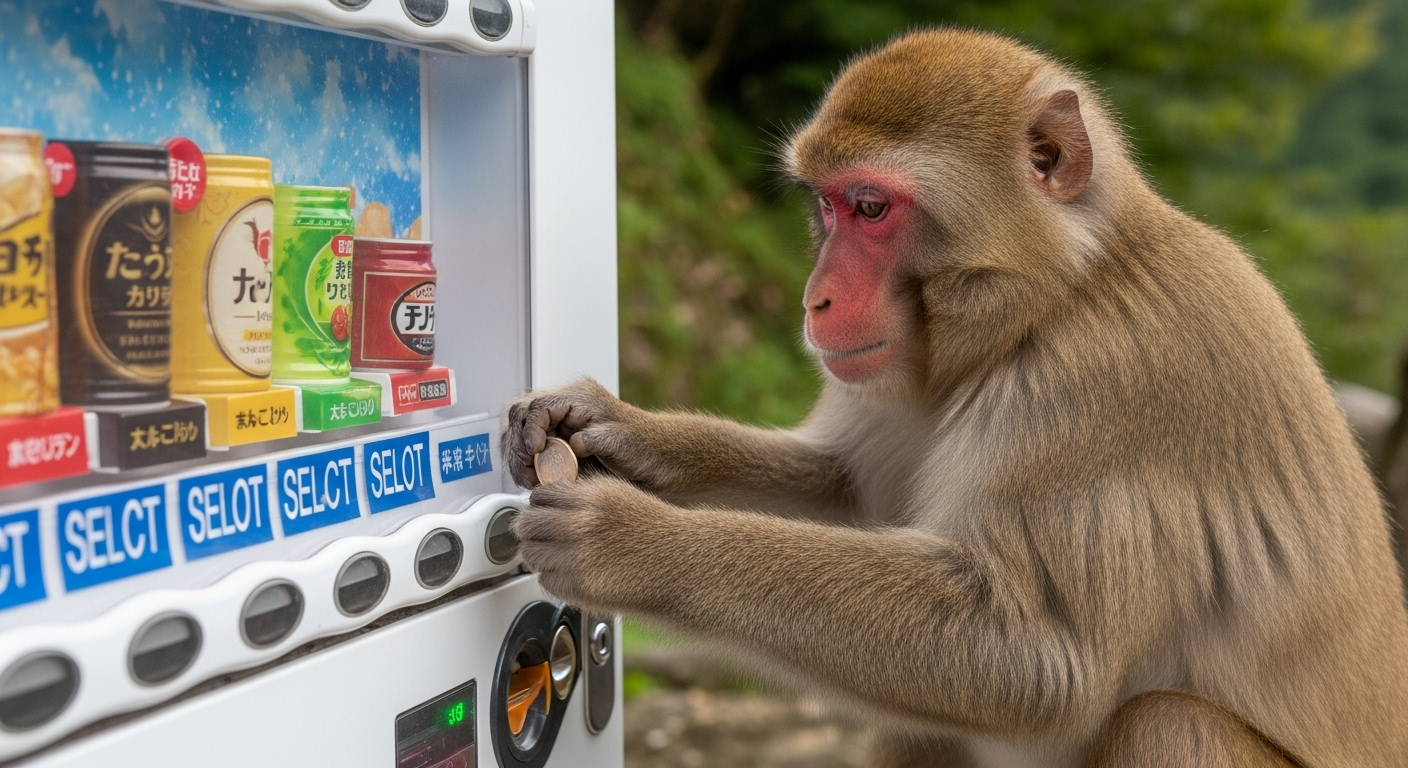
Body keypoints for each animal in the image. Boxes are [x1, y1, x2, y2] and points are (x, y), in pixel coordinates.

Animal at [502, 29, 1408, 767]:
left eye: (871, 207)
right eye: (825, 205)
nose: (814, 300)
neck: (1058, 295)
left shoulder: (1105, 390)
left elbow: (1037, 660)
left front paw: (632, 541)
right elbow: (854, 491)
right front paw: (613, 427)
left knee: (1169, 725)